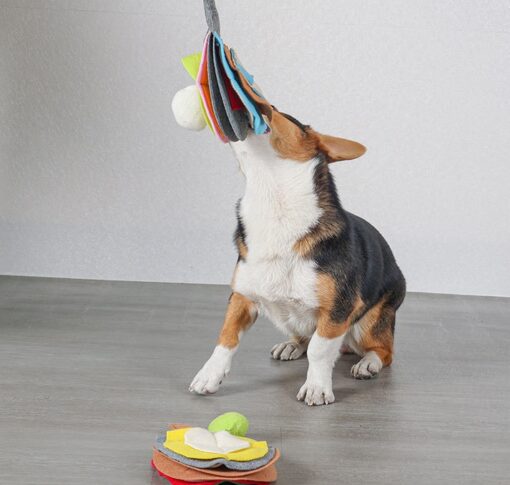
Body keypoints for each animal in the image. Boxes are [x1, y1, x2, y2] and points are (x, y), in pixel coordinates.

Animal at [185, 107, 404, 404]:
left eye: (279, 112)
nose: (259, 106)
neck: (273, 206)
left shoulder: (337, 310)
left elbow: (319, 350)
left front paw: (316, 388)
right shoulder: (242, 296)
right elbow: (226, 337)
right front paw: (208, 376)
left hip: (370, 322)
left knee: (383, 350)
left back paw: (368, 363)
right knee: (304, 337)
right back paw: (291, 345)